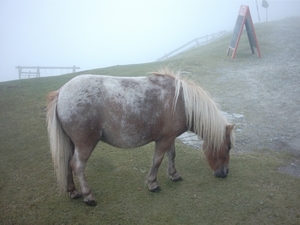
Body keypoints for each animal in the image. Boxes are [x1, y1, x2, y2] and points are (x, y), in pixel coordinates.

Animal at [46, 69, 234, 207]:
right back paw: (88, 196)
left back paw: (73, 191)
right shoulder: (164, 140)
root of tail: (61, 92)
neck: (180, 101)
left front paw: (174, 175)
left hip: (72, 143)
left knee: (66, 162)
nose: (224, 173)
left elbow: (171, 155)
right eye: (228, 147)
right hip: (85, 144)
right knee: (77, 165)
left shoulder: (170, 137)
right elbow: (157, 160)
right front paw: (153, 184)